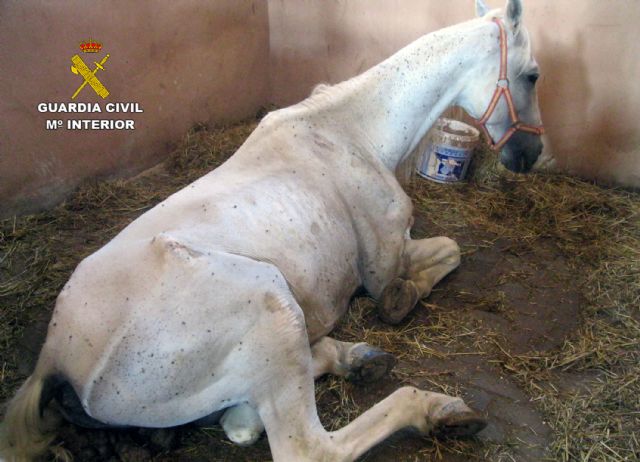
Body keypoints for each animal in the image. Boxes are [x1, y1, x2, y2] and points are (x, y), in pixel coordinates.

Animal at [0, 0, 544, 460]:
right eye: (534, 75)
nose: (531, 155)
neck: (351, 132)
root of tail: (57, 356)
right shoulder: (385, 261)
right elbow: (448, 251)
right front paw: (401, 300)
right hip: (271, 303)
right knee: (309, 445)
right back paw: (436, 408)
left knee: (253, 411)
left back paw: (355, 359)